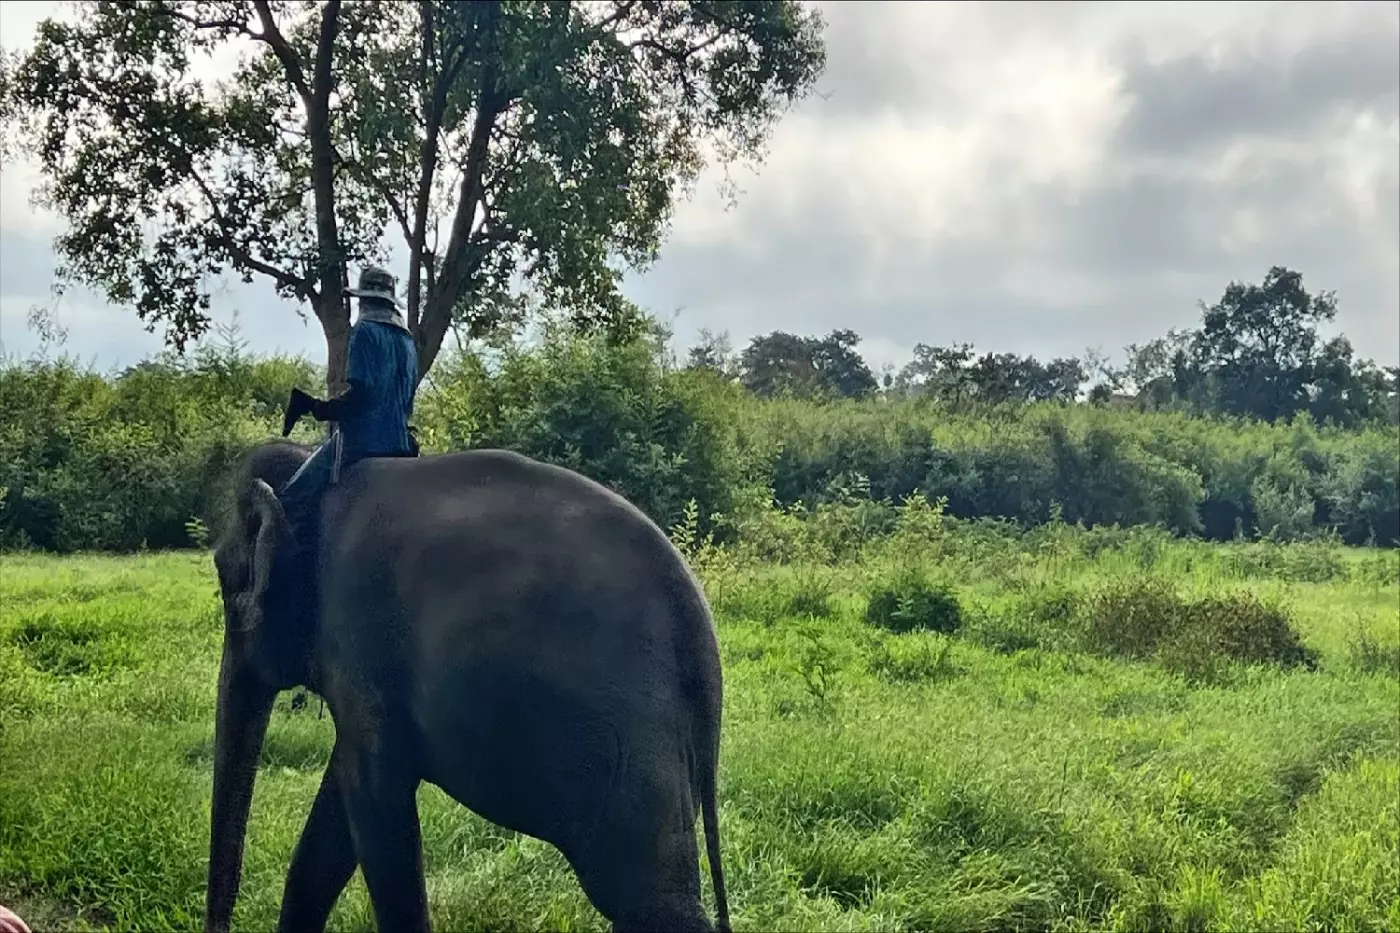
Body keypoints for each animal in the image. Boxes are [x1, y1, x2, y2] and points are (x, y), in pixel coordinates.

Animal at [204, 439, 730, 933]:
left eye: (226, 580)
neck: (313, 475)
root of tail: (698, 627)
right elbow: (337, 808)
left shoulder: (356, 636)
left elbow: (374, 797)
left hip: (626, 745)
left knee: (648, 900)